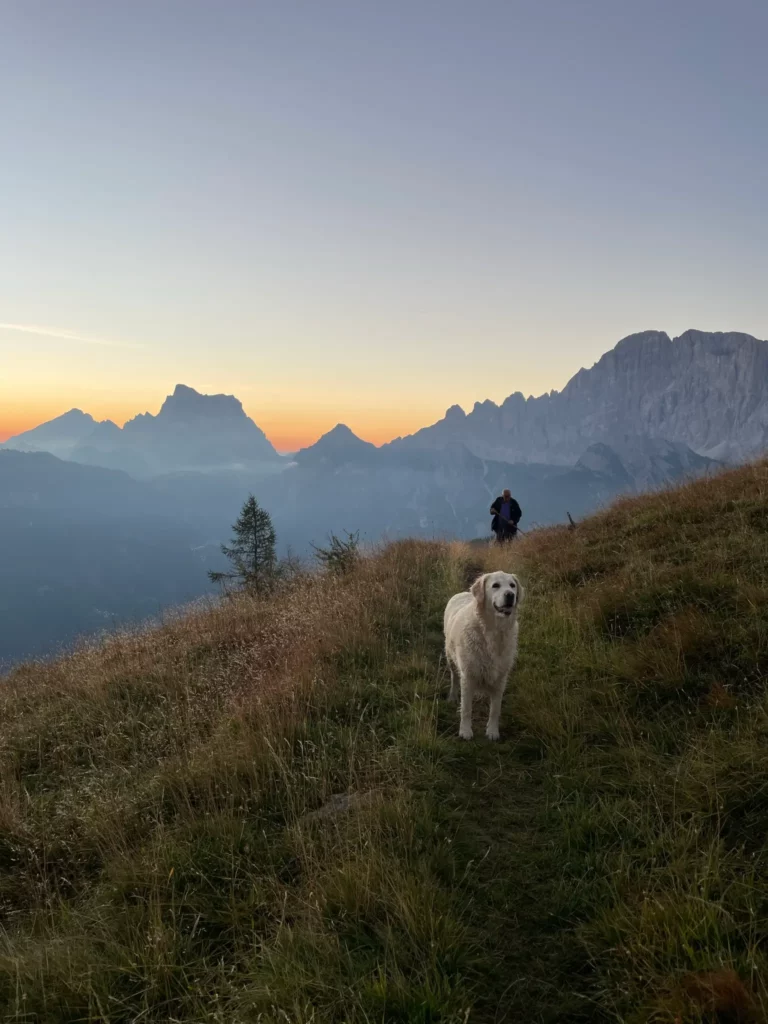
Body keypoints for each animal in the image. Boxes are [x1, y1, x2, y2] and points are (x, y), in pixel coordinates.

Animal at [442, 573, 528, 741]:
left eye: (512, 585)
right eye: (495, 585)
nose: (510, 595)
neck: (492, 631)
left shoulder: (501, 678)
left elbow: (495, 709)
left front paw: (493, 731)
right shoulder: (468, 675)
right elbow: (466, 708)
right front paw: (465, 731)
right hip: (450, 658)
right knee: (454, 678)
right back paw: (452, 697)